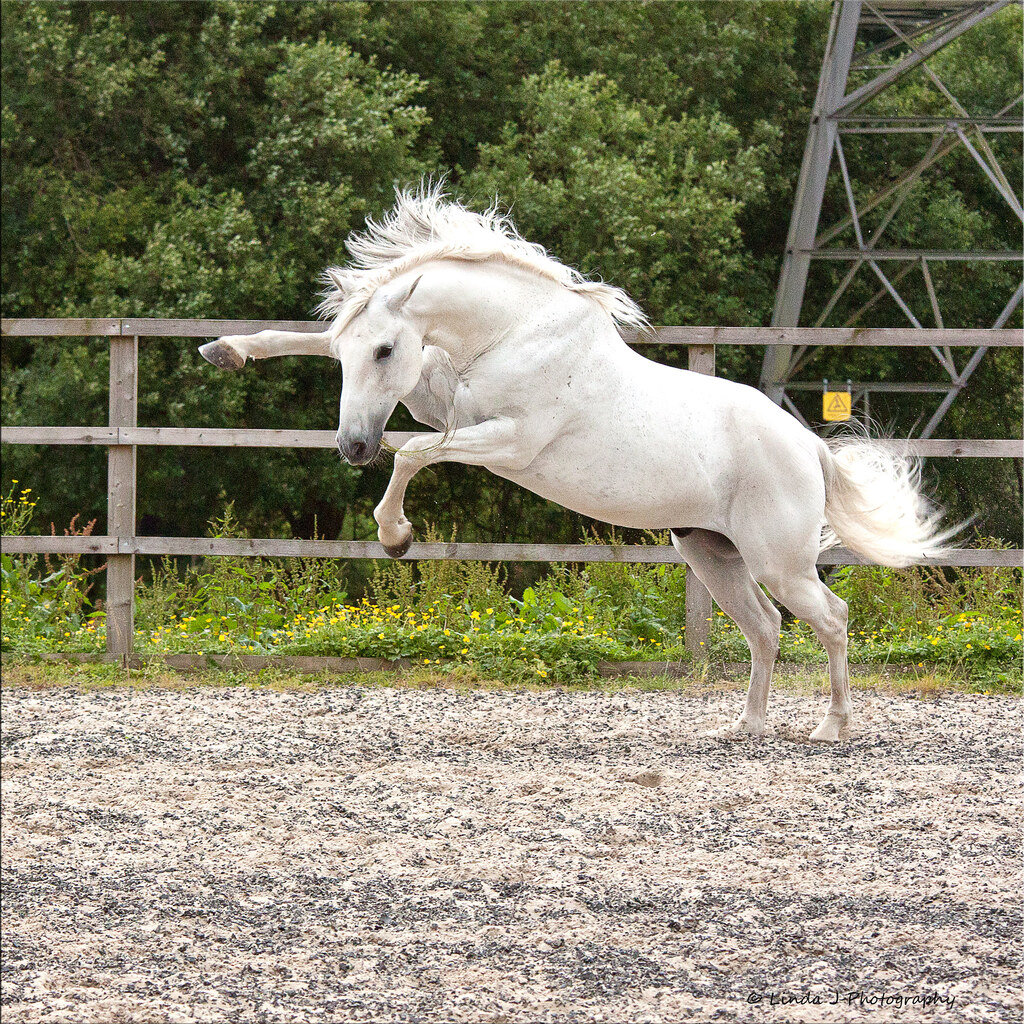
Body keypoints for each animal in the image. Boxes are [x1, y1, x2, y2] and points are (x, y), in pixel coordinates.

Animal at [200, 185, 951, 742]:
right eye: (350, 354)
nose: (353, 447)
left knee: (833, 619)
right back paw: (746, 727)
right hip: (711, 553)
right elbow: (314, 349)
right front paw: (227, 349)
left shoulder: (504, 442)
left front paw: (395, 537)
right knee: (765, 628)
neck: (514, 333)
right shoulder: (441, 404)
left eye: (386, 351)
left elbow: (412, 454)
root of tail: (808, 446)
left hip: (779, 561)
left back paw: (832, 727)